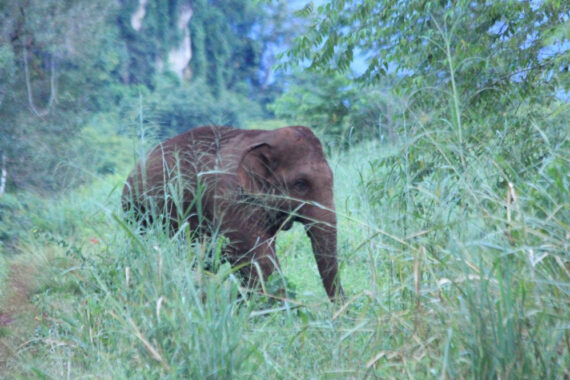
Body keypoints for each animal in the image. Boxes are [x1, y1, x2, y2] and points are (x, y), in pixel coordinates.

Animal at [122, 126, 344, 304]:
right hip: (137, 214)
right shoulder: (229, 200)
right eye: (300, 184)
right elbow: (256, 257)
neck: (265, 136)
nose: (340, 312)